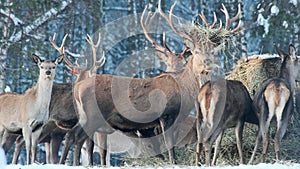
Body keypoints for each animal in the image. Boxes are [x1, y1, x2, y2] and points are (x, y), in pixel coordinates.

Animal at [64, 1, 240, 166]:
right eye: (196, 51)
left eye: (213, 51)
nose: (208, 63)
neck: (184, 91)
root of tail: (78, 88)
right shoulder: (166, 115)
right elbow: (169, 145)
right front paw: (172, 162)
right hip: (93, 114)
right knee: (76, 136)